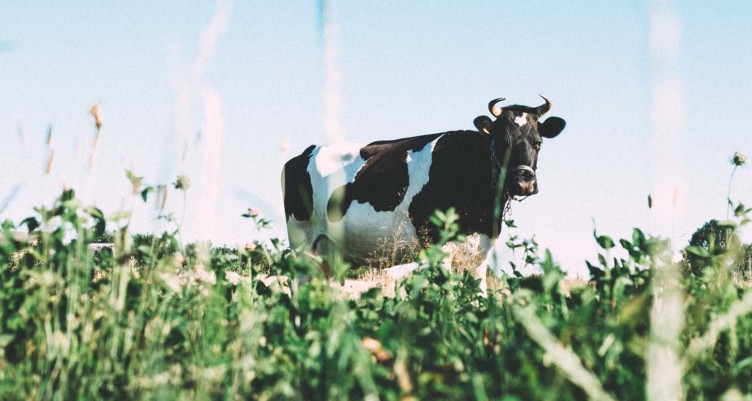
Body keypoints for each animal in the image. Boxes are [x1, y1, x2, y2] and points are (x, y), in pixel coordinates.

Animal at [282, 96, 566, 293]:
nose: (523, 182)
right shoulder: (439, 245)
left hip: (328, 255)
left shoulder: (480, 252)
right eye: (502, 142)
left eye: (538, 142)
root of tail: (303, 154)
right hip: (303, 244)